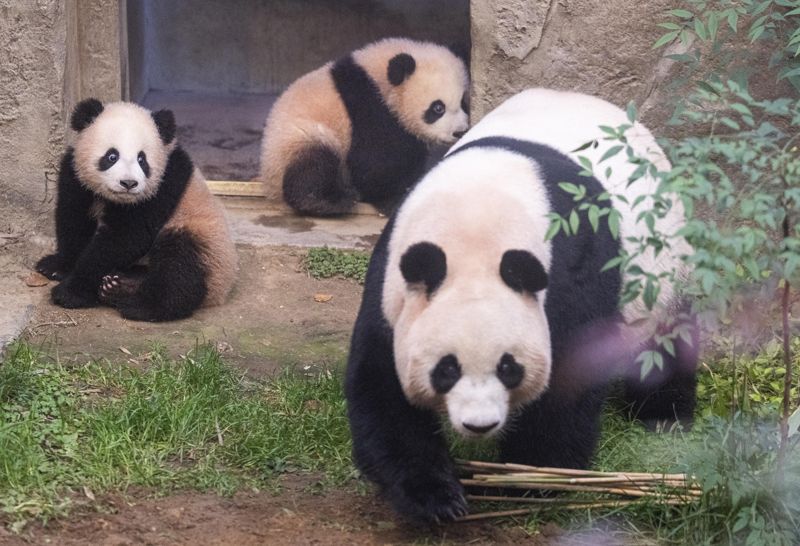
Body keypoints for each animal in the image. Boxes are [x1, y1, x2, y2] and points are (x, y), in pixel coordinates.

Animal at [37, 99, 238, 318]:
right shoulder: (76, 176)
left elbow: (124, 238)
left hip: (204, 239)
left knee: (179, 263)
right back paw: (118, 286)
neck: (116, 199)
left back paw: (140, 304)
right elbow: (74, 220)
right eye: (112, 156)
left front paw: (70, 292)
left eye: (142, 160)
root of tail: (220, 293)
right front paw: (56, 266)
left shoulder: (163, 185)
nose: (128, 183)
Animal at [260, 37, 468, 216]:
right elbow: (374, 161)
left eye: (463, 102)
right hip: (298, 139)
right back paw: (328, 201)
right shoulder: (366, 107)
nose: (460, 132)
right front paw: (395, 198)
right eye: (438, 108)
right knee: (314, 163)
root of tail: (268, 182)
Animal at [346, 87, 696, 520]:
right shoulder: (393, 283)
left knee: (664, 340)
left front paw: (534, 476)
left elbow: (569, 378)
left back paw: (663, 416)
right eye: (446, 369)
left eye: (508, 367)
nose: (479, 425)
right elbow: (381, 383)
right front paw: (435, 496)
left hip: (663, 265)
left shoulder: (569, 271)